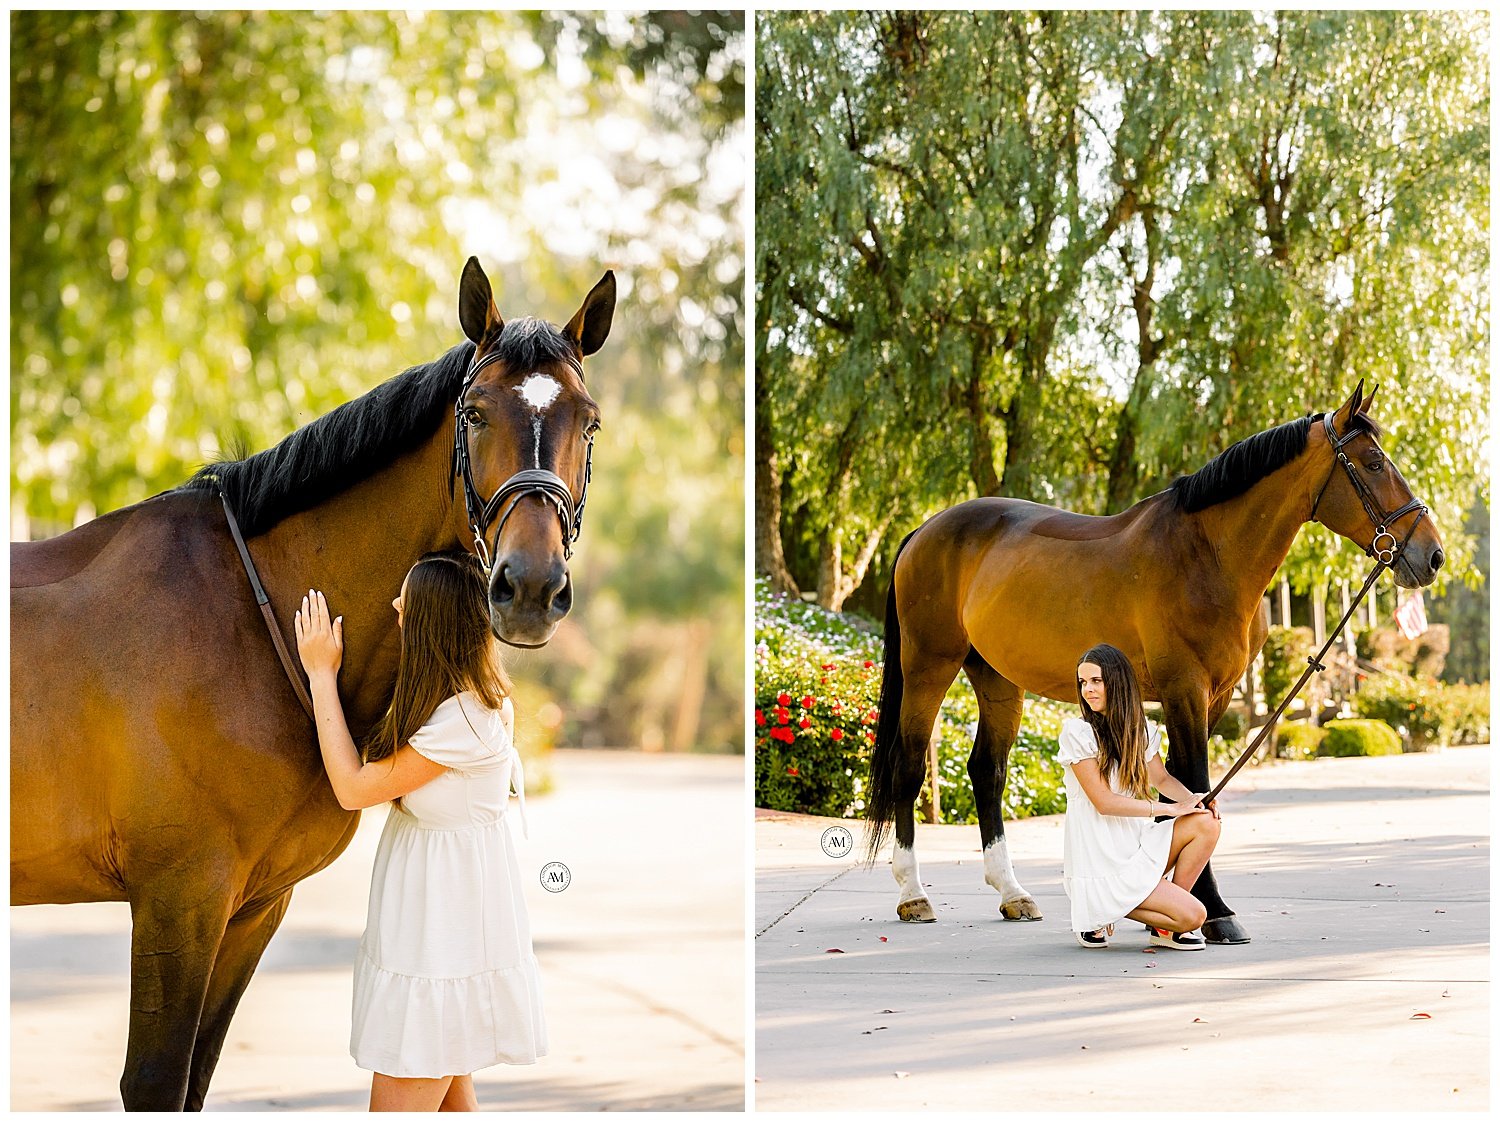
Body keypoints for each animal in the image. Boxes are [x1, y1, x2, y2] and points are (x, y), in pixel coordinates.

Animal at [10, 258, 609, 1110]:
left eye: (588, 423)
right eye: (476, 413)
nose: (529, 587)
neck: (244, 610)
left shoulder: (253, 907)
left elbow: (195, 1078)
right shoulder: (179, 900)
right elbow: (156, 1082)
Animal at [870, 381, 1440, 942]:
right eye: (1373, 462)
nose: (1430, 555)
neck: (1205, 554)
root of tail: (923, 531)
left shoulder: (1215, 697)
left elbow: (1181, 788)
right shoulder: (1183, 689)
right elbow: (1197, 784)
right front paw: (1214, 911)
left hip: (997, 678)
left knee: (987, 770)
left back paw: (1013, 894)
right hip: (929, 666)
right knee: (909, 765)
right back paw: (913, 895)